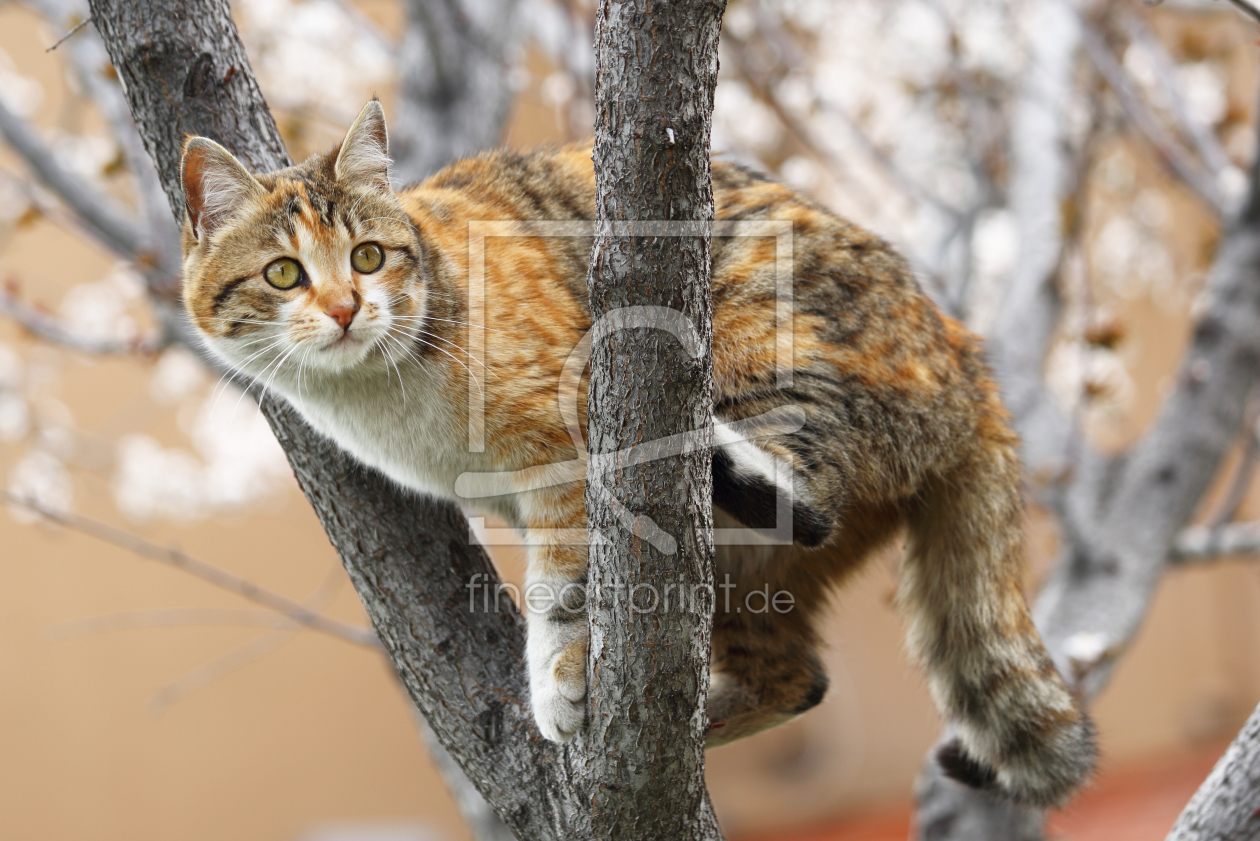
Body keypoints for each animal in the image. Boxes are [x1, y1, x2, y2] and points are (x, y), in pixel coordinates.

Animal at [180, 100, 1093, 806]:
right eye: (284, 273)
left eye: (368, 256)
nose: (343, 308)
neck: (379, 393)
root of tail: (970, 361)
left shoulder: (556, 455)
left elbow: (563, 587)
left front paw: (562, 676)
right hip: (740, 574)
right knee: (797, 674)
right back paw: (700, 724)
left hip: (759, 333)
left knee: (807, 503)